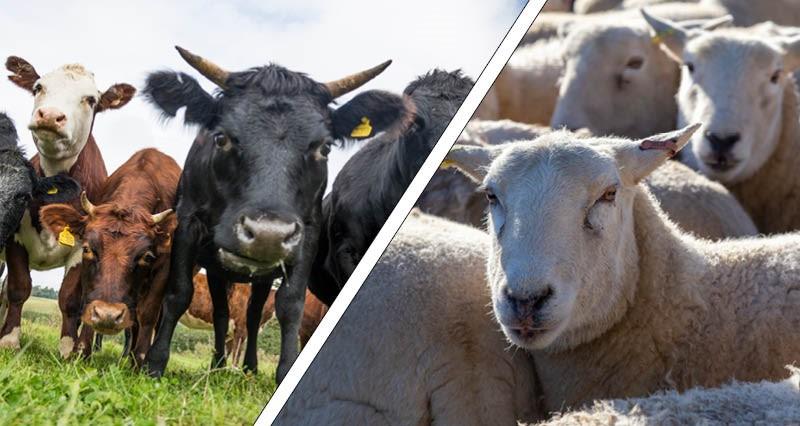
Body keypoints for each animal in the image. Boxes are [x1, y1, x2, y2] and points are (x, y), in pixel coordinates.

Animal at [39, 149, 179, 365]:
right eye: (87, 248)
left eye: (146, 256)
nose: (108, 316)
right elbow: (88, 301)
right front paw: (82, 352)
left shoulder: (164, 268)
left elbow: (148, 315)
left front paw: (141, 361)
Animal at [141, 46, 400, 381]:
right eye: (221, 137)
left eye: (324, 148)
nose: (268, 235)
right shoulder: (187, 223)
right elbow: (178, 292)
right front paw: (154, 364)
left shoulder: (307, 235)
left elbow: (289, 305)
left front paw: (286, 372)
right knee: (222, 313)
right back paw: (218, 363)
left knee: (251, 315)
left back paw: (249, 367)